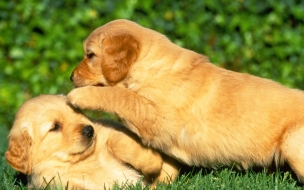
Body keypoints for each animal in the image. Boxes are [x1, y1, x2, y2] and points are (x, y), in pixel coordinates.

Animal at [5, 94, 179, 189]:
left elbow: (119, 142)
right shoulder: (53, 181)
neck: (82, 160)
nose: (89, 130)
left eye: (76, 111)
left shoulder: (111, 130)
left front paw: (153, 164)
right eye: (55, 127)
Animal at [68, 18, 304, 183]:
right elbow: (166, 169)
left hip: (292, 142)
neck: (153, 68)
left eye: (90, 55)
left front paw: (79, 95)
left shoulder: (159, 116)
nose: (70, 77)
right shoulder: (166, 138)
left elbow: (123, 96)